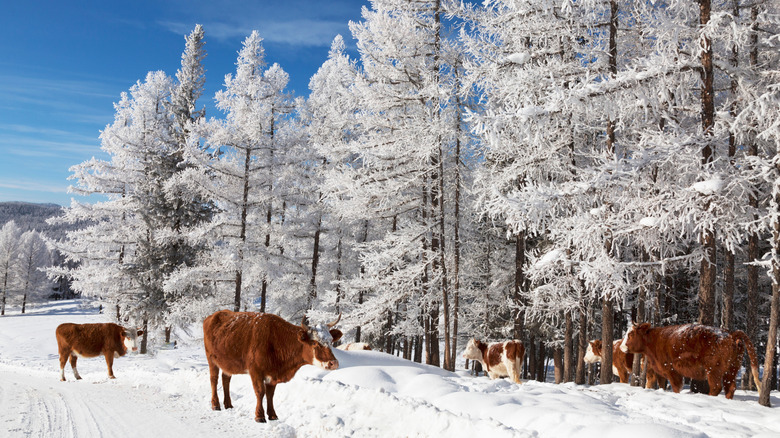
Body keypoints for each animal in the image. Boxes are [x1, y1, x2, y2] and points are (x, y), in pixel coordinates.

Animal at [203, 310, 343, 423]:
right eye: (314, 343)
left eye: (331, 341)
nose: (333, 363)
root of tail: (213, 315)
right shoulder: (255, 371)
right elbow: (260, 392)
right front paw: (259, 416)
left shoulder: (273, 374)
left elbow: (270, 394)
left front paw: (273, 415)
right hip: (211, 360)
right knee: (214, 380)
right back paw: (215, 404)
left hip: (227, 363)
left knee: (226, 379)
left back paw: (228, 404)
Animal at [620, 323, 762, 399]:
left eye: (630, 334)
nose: (621, 347)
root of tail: (730, 334)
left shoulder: (671, 370)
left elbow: (676, 387)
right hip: (731, 370)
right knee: (730, 388)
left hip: (713, 370)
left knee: (716, 387)